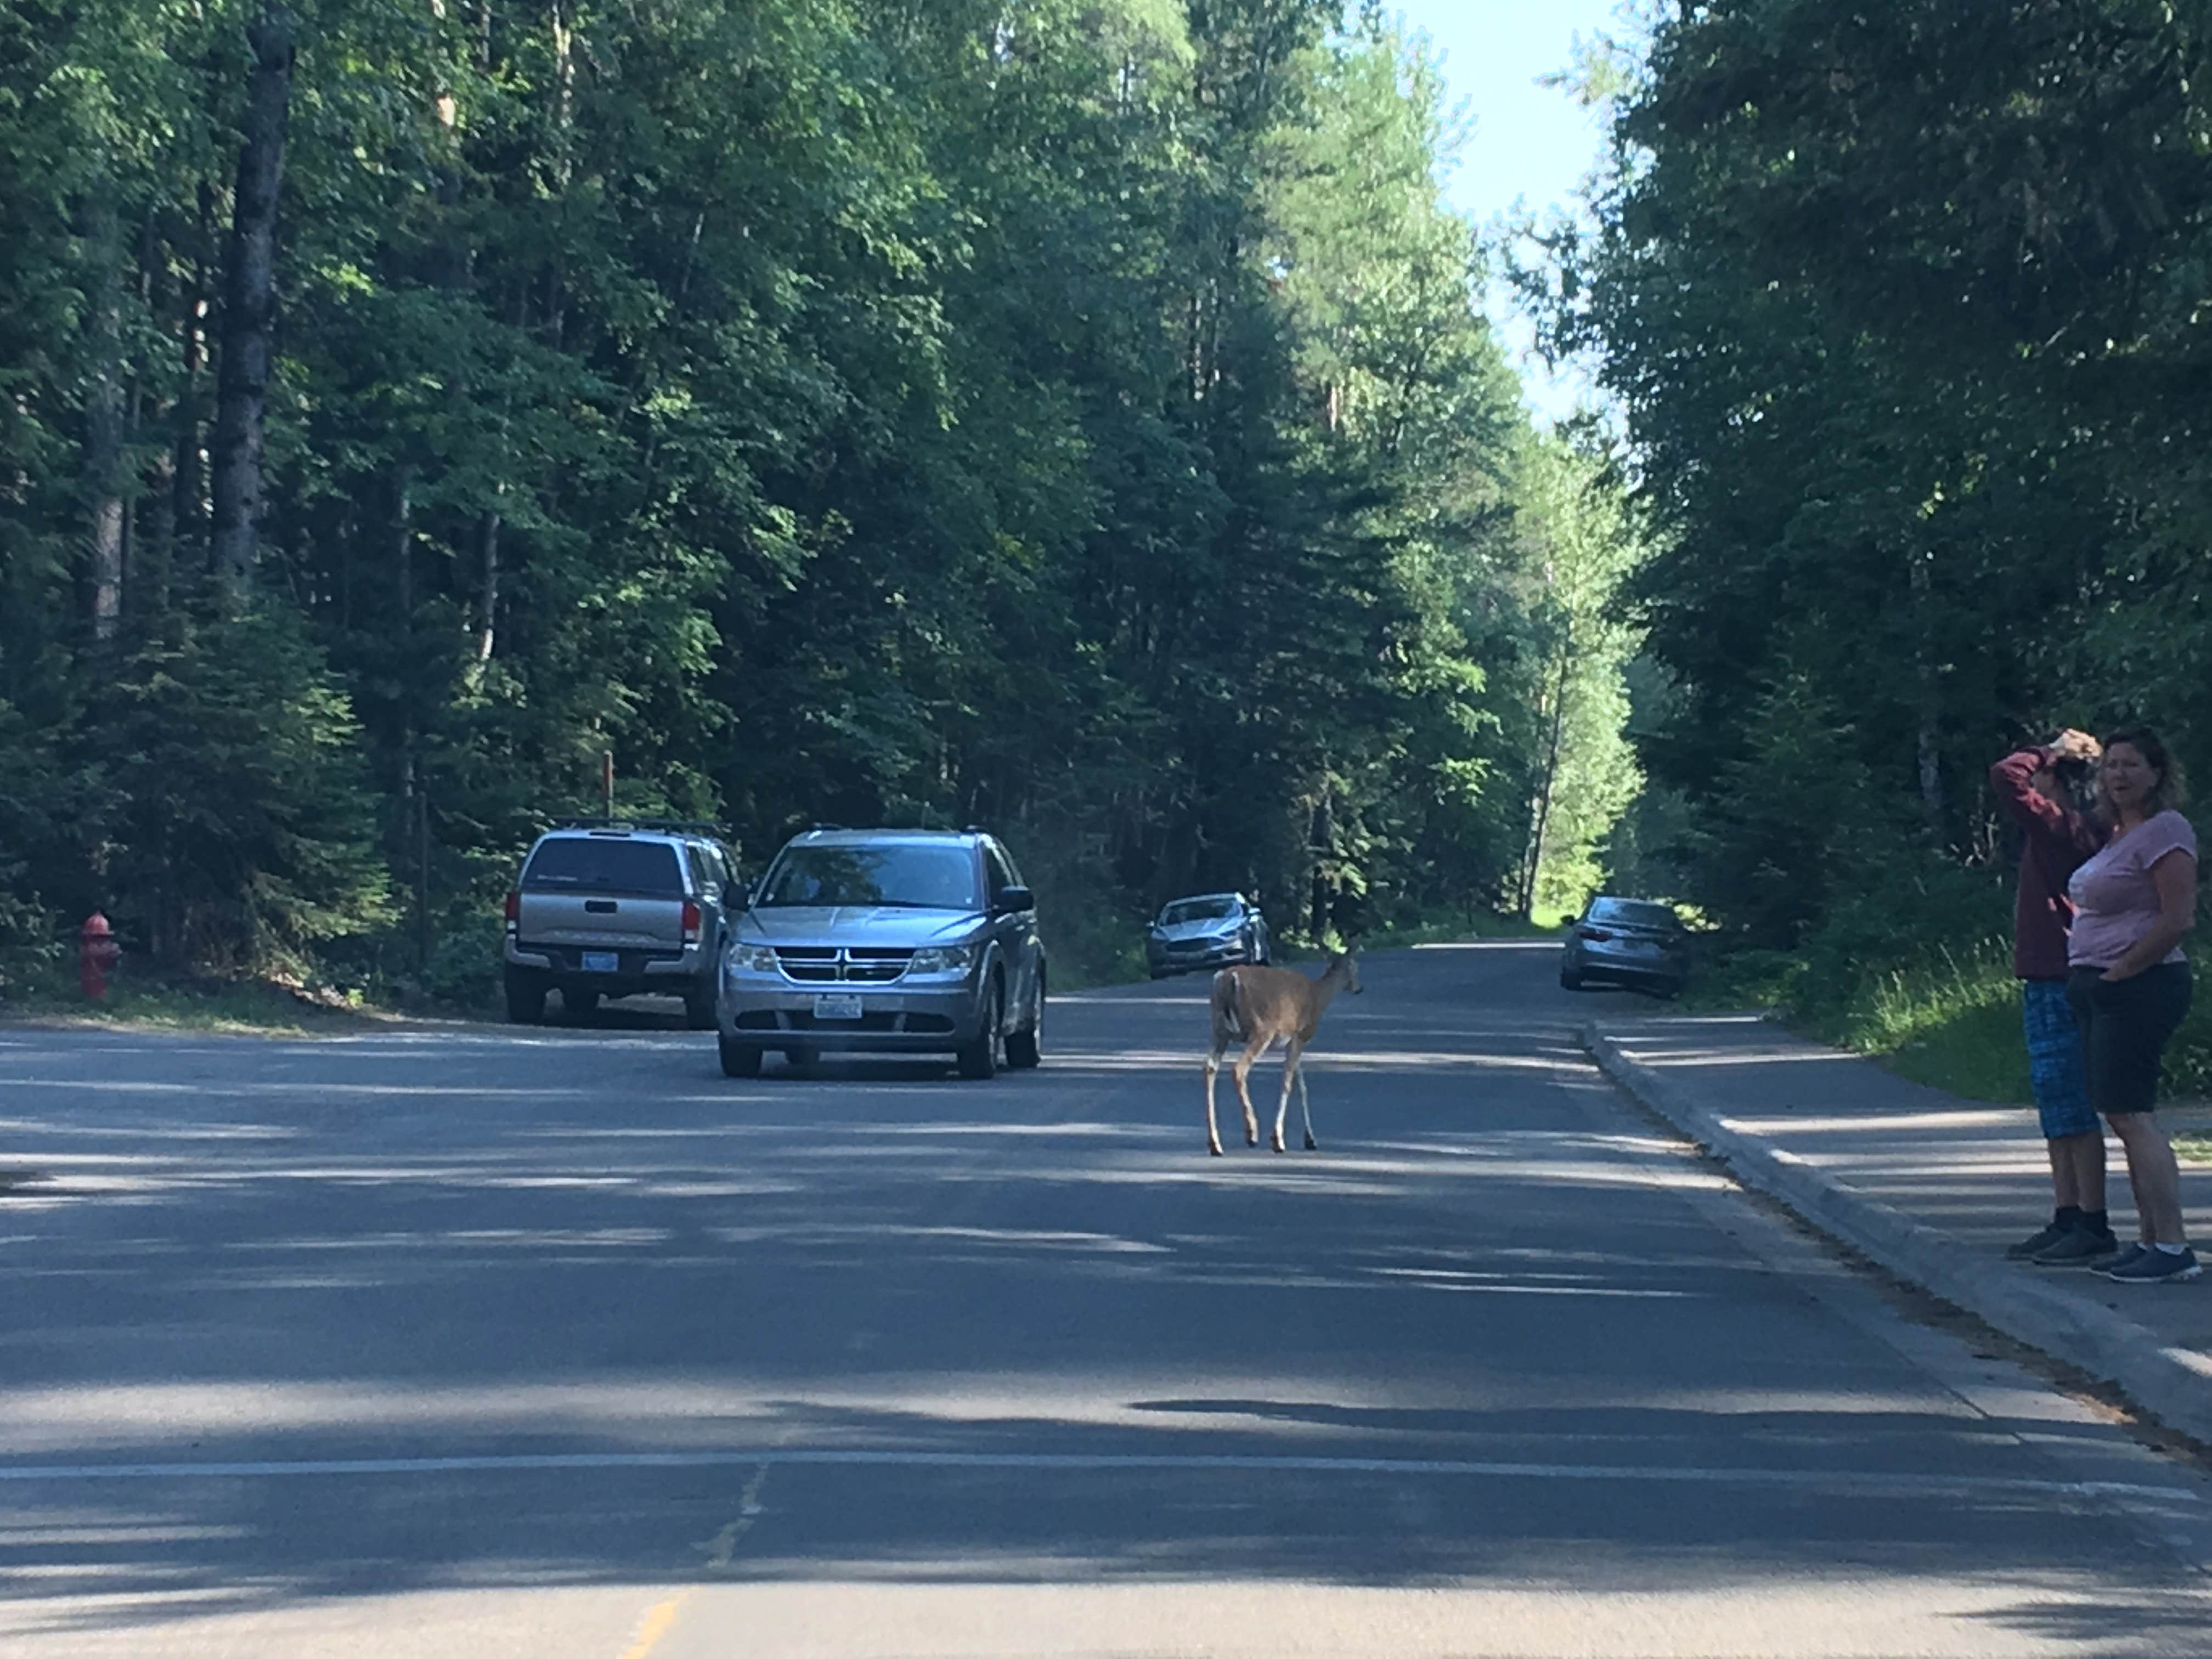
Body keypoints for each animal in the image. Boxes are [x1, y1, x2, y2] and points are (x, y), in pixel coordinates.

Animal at [1203, 955, 1353, 1159]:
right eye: (1355, 967)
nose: (1359, 988)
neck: (1317, 996)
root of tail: (1227, 978)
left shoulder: (1294, 1042)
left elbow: (1302, 1087)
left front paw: (1310, 1139)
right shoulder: (1299, 1035)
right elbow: (1288, 1084)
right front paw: (1278, 1140)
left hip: (1219, 1030)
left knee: (1209, 1067)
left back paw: (1215, 1144)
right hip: (1262, 1029)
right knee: (1239, 1069)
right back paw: (1252, 1133)